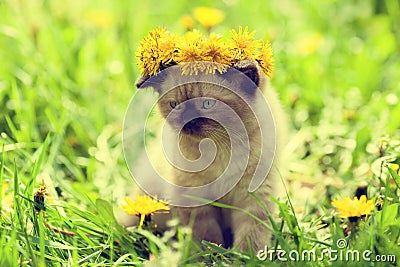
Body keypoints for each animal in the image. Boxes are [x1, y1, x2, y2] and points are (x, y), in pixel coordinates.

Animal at [136, 59, 286, 252]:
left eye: (207, 104)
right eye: (175, 105)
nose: (188, 121)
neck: (220, 150)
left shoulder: (253, 197)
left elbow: (250, 239)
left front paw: (242, 256)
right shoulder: (194, 199)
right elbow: (206, 237)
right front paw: (212, 254)